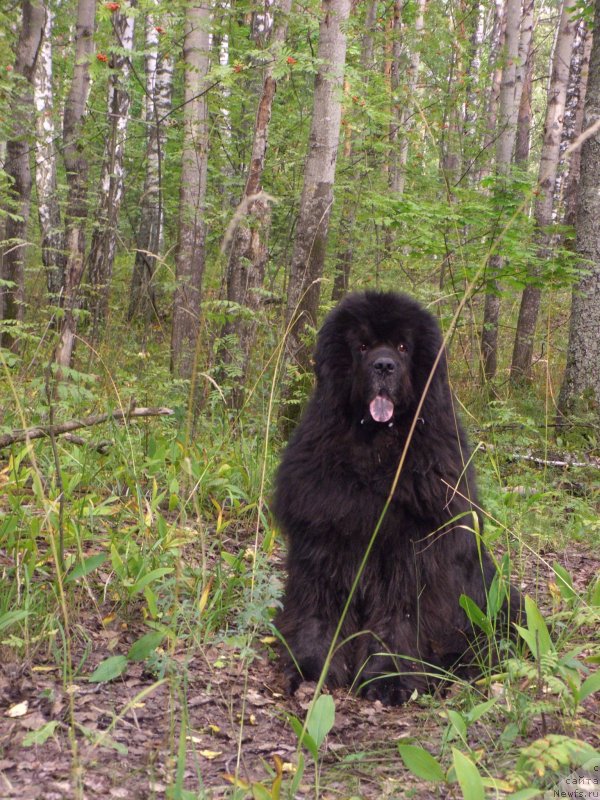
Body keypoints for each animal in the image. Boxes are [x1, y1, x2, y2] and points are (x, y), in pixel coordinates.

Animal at [274, 290, 516, 704]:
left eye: (403, 347)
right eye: (362, 346)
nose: (384, 365)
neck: (378, 452)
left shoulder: (409, 557)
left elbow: (397, 619)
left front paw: (389, 678)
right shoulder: (322, 545)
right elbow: (318, 610)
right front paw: (311, 668)